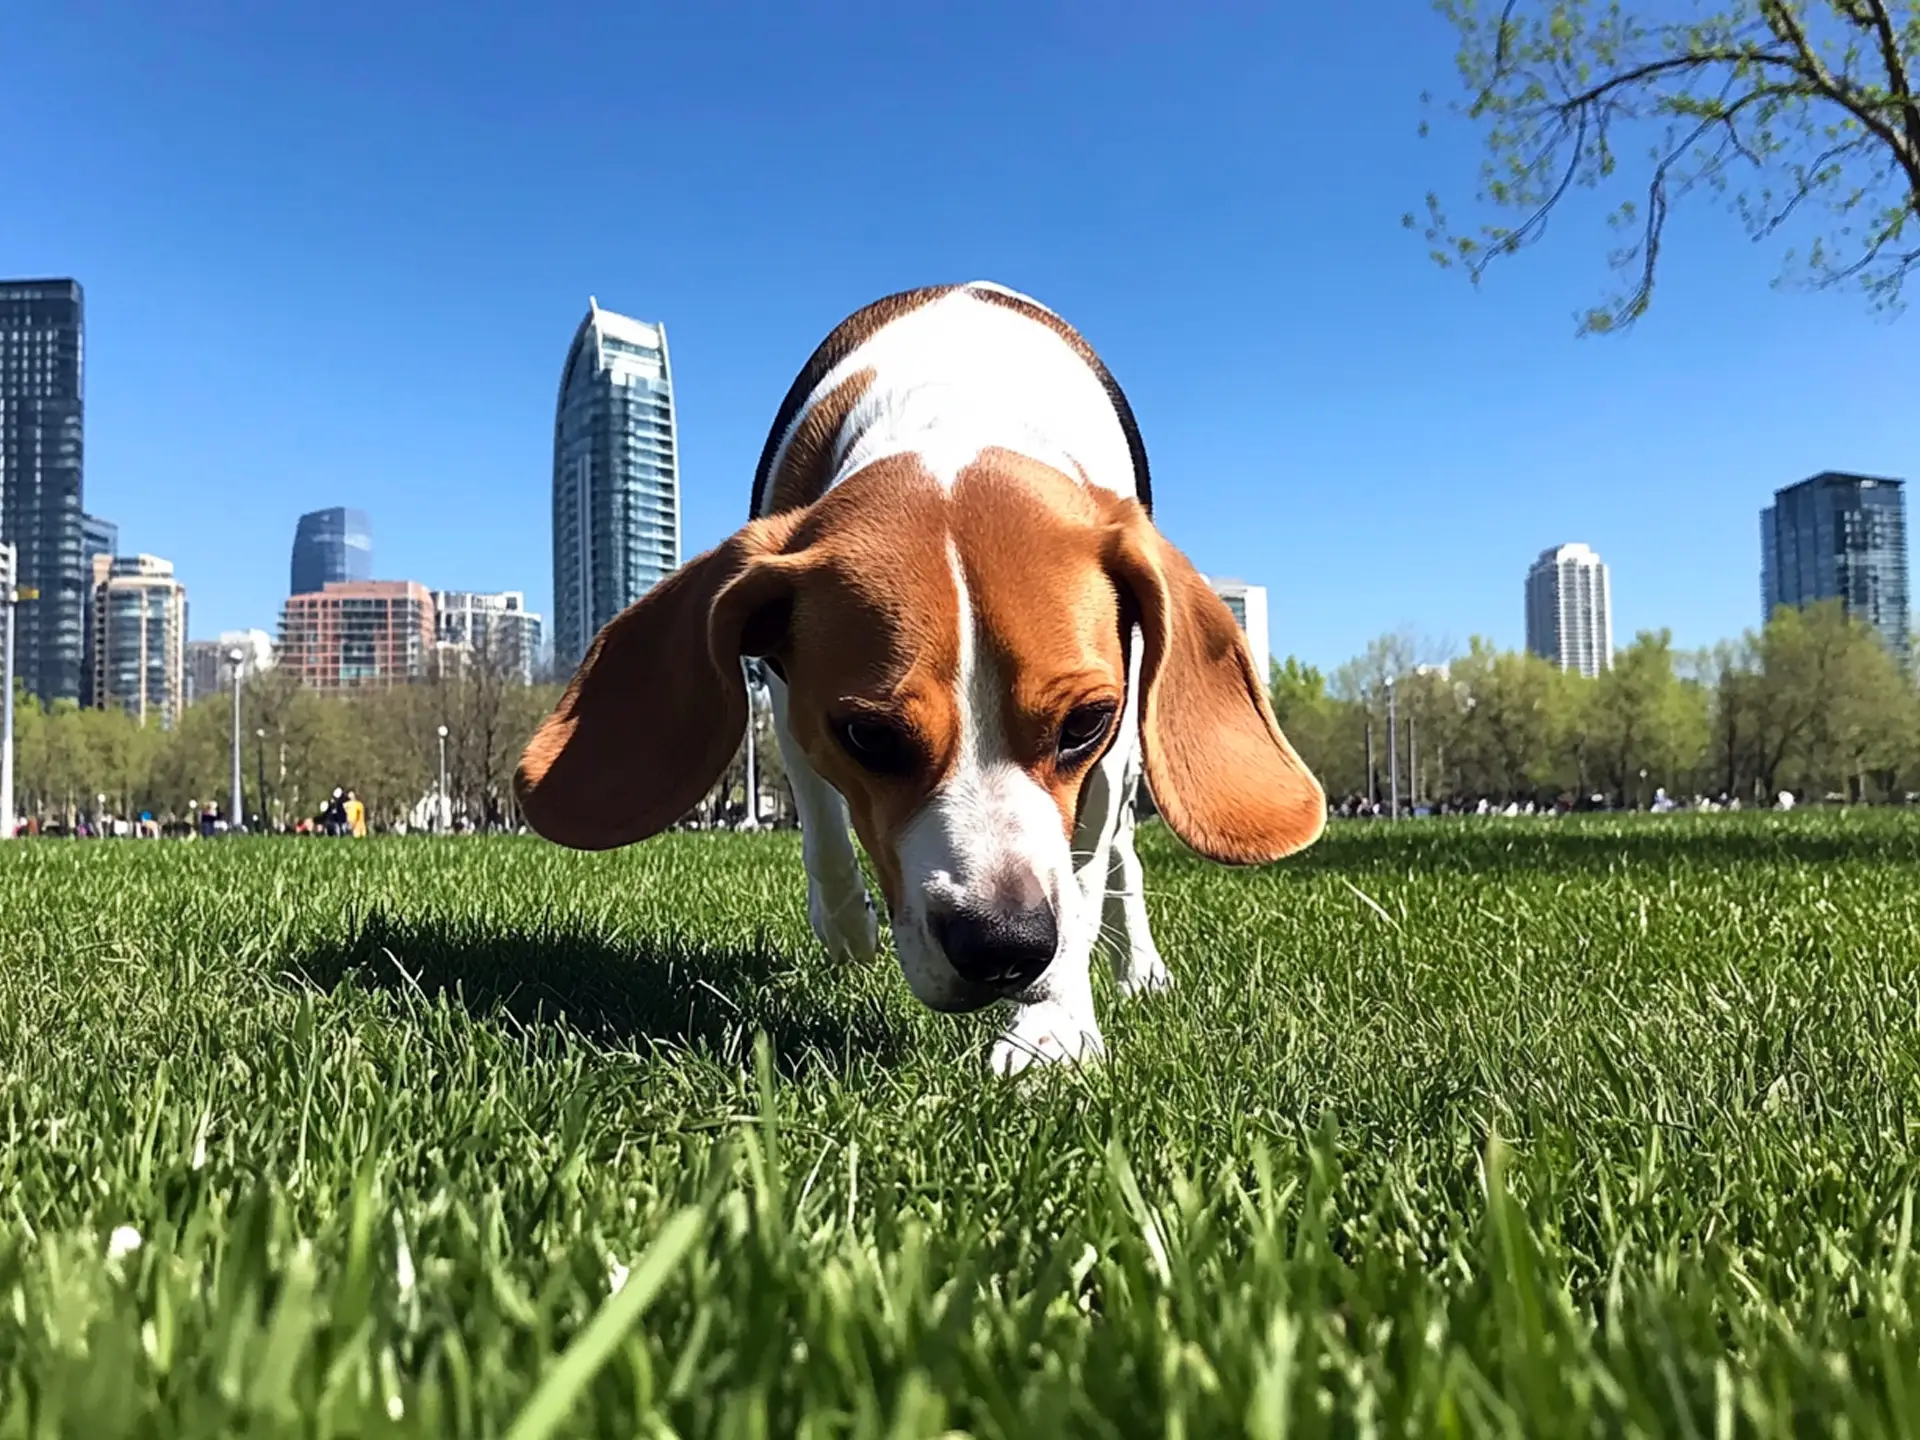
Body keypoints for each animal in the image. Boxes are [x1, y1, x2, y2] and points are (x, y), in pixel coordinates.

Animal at [514, 284, 1320, 1075]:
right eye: (867, 736)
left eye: (1084, 722)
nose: (1005, 948)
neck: (958, 409)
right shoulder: (790, 696)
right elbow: (823, 829)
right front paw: (847, 927)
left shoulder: (1111, 747)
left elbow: (1085, 882)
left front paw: (1053, 1031)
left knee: (1122, 863)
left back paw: (1140, 969)